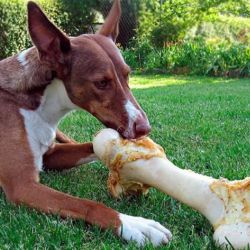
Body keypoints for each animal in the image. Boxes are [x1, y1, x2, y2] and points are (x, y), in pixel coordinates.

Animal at [0, 0, 172, 246]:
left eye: (127, 75)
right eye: (101, 83)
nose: (144, 128)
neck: (40, 106)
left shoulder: (50, 155)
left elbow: (92, 145)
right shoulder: (22, 185)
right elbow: (87, 204)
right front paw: (132, 224)